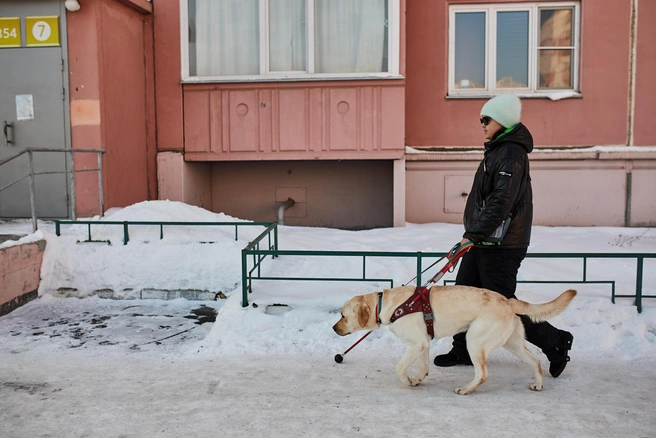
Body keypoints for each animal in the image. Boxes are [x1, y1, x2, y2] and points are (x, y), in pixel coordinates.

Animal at [334, 286, 576, 396]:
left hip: (474, 341)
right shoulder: (422, 343)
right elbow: (423, 367)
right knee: (535, 361)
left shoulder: (416, 344)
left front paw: (407, 381)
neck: (388, 306)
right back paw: (538, 384)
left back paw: (466, 389)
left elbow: (399, 368)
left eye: (343, 316)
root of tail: (507, 300)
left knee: (482, 374)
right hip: (512, 343)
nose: (334, 328)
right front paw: (417, 379)